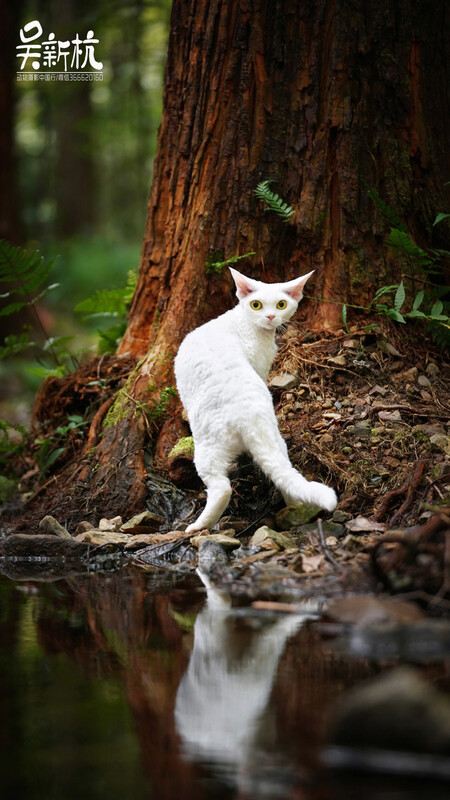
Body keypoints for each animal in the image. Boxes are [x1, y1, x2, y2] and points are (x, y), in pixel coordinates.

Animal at [176, 268, 338, 532]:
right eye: (256, 304)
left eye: (281, 304)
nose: (271, 316)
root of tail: (250, 416)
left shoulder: (262, 366)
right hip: (276, 441)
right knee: (285, 476)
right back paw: (295, 509)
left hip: (207, 448)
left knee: (221, 488)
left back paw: (198, 526)